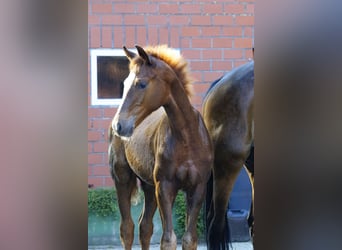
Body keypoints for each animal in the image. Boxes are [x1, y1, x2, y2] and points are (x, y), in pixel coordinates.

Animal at [108, 45, 212, 250]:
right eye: (124, 83)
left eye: (141, 84)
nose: (119, 126)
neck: (187, 138)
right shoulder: (164, 186)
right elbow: (168, 240)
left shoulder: (197, 188)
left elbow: (189, 239)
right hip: (123, 178)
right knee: (127, 228)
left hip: (149, 185)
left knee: (145, 226)